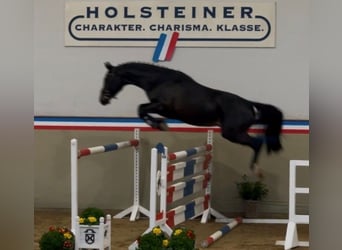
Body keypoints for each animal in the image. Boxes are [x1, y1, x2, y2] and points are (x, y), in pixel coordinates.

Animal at [99, 61, 284, 177]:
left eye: (108, 78)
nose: (103, 100)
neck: (159, 81)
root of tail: (249, 105)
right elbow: (141, 109)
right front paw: (159, 124)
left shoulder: (162, 107)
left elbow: (141, 109)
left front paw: (160, 125)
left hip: (232, 133)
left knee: (256, 143)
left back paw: (256, 170)